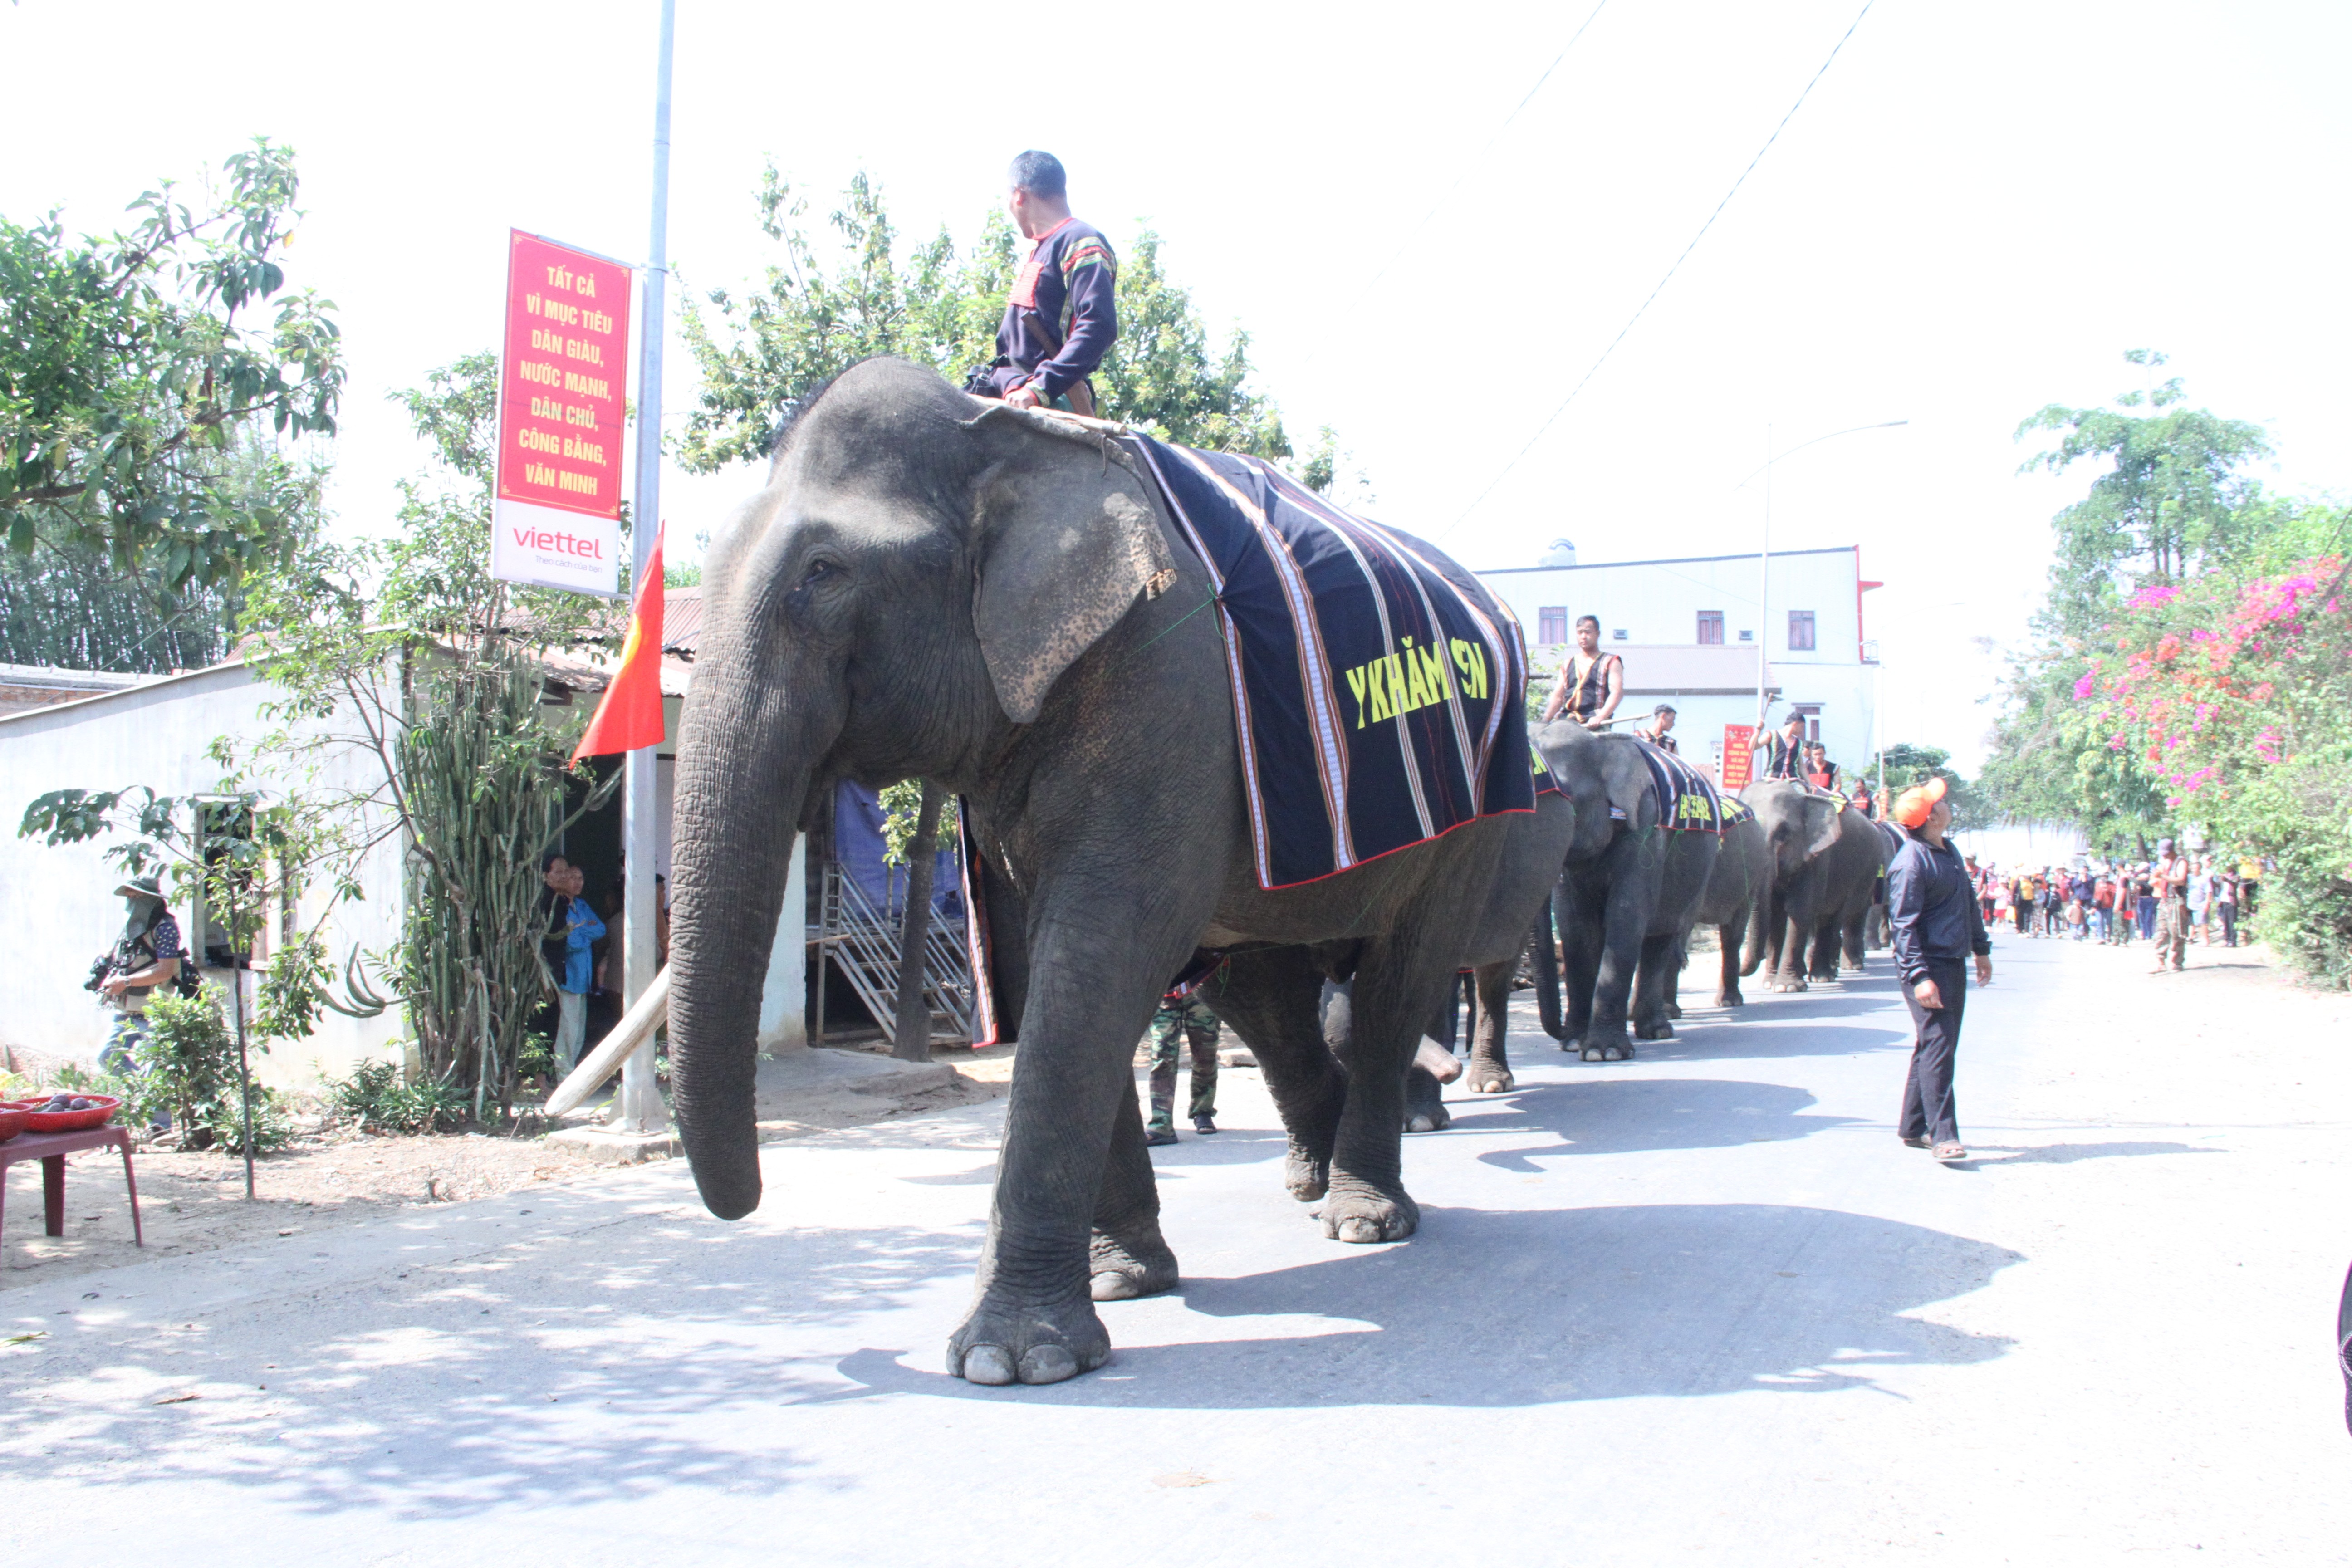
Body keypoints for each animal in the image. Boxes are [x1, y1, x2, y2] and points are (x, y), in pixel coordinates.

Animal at [668, 359, 1543, 1382]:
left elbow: (1094, 953)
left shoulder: (1165, 681)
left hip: (1473, 810)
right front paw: (1126, 1280)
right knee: (1264, 993)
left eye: (823, 574)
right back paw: (1312, 1177)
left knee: (1401, 978)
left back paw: (1364, 1218)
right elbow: (1041, 956)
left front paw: (1010, 1360)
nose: (749, 1204)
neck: (1001, 437)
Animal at [1740, 780, 1900, 992]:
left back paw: (1835, 972)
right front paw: (1770, 983)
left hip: (1867, 873)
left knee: (1843, 916)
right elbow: (1776, 914)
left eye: (1783, 834)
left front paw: (1787, 988)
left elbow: (1799, 910)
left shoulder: (1818, 857)